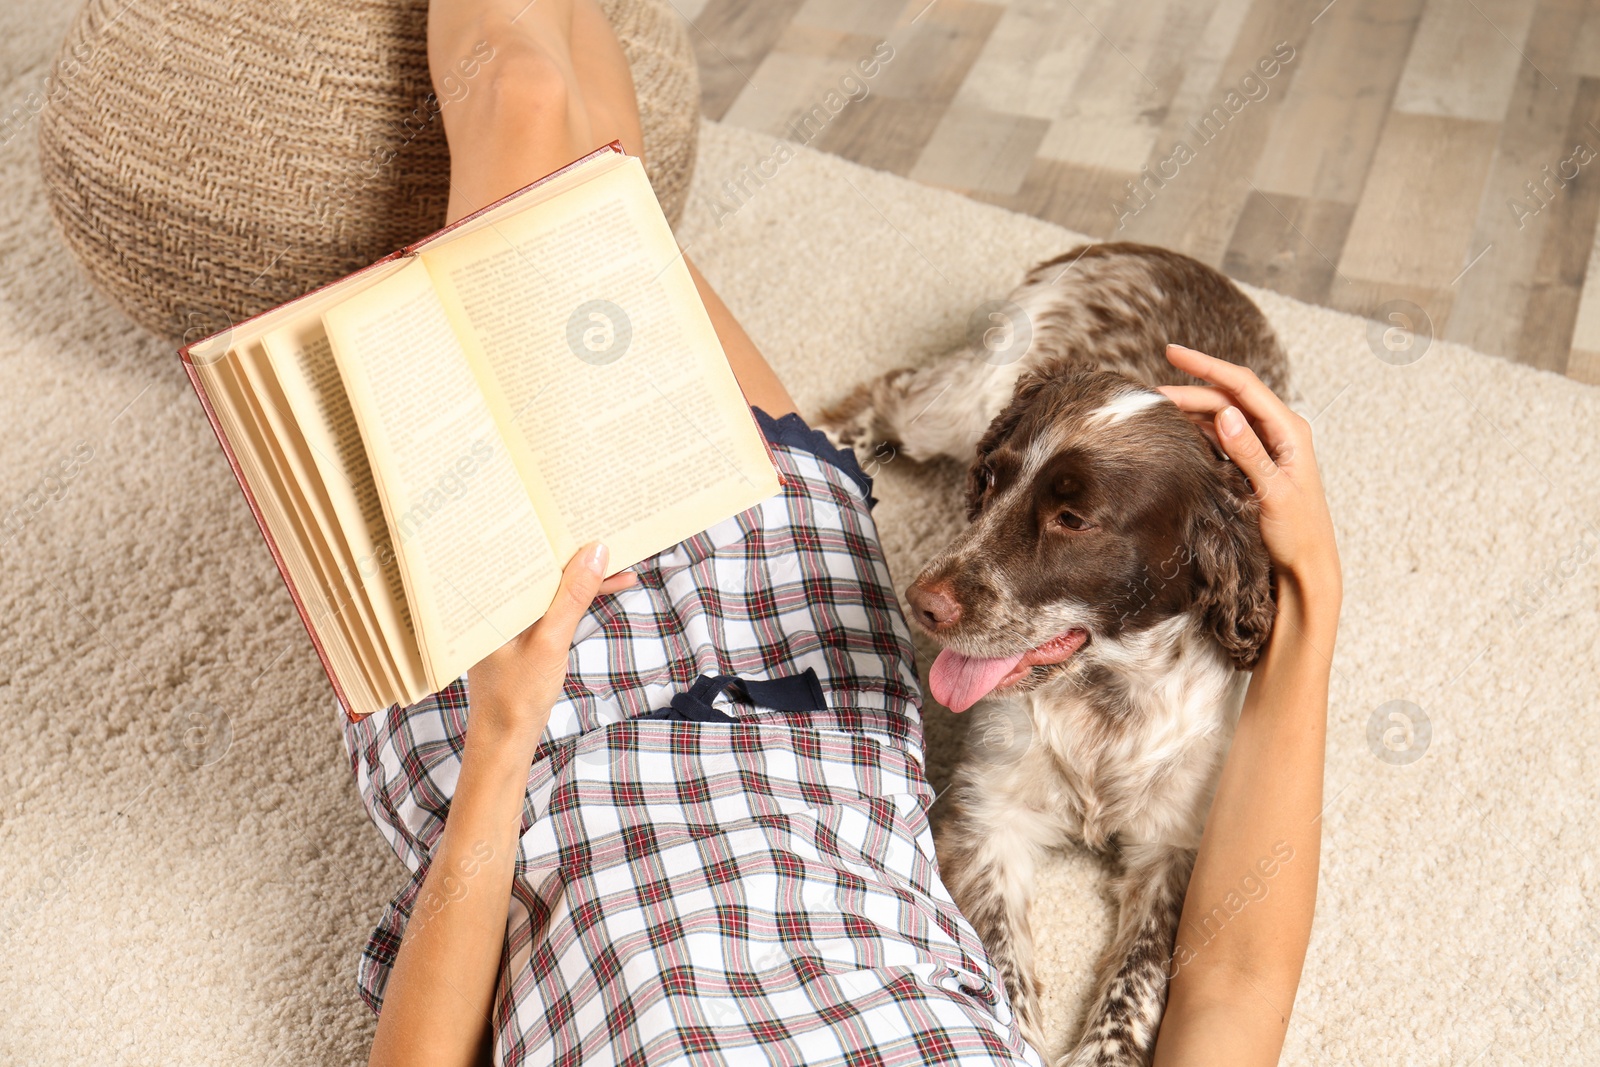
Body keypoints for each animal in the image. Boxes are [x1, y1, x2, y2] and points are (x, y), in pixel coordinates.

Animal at [819, 244, 1292, 1067]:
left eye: (1073, 519)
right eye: (991, 479)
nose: (923, 601)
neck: (1105, 689)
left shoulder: (1178, 846)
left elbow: (1138, 978)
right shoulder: (989, 816)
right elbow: (1002, 964)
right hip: (960, 400)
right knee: (894, 390)